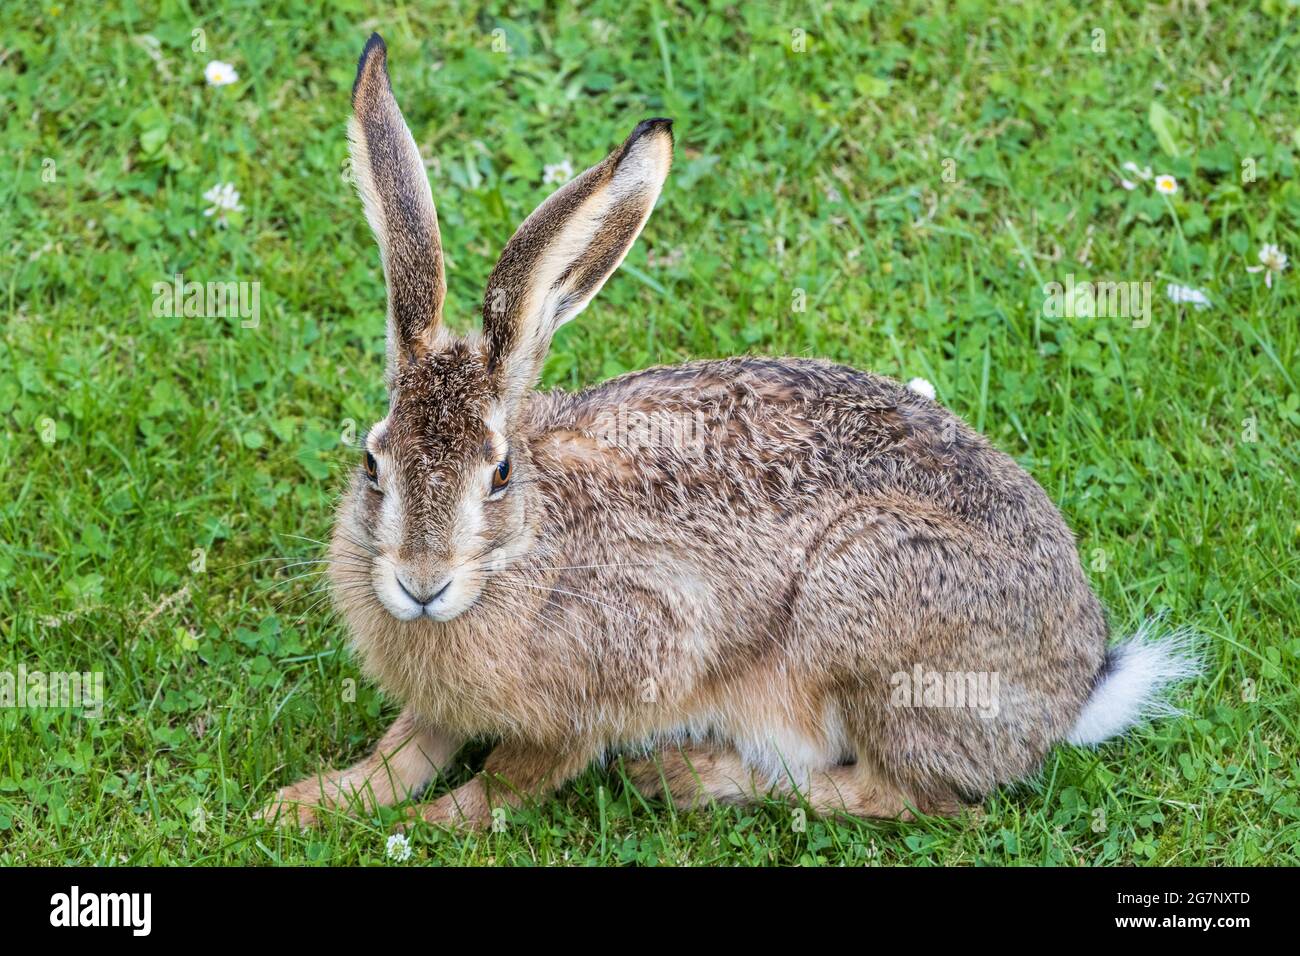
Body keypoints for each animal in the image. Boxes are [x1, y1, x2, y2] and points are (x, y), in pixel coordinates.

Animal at [263, 33, 1197, 829]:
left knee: (905, 798)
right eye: (373, 461)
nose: (420, 584)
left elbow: (507, 781)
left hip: (864, 611)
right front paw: (305, 804)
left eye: (497, 474)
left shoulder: (632, 664)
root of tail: (1071, 692)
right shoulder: (441, 703)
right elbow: (407, 750)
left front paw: (424, 824)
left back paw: (685, 776)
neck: (525, 555)